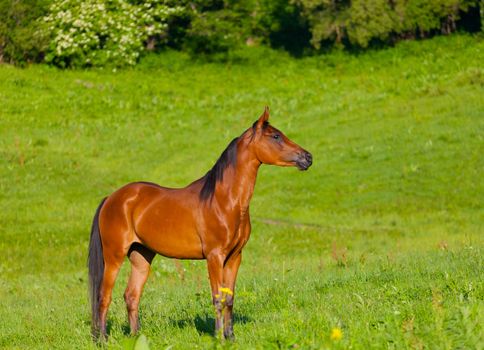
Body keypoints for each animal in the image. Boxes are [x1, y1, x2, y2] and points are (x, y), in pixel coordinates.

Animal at [87, 106, 314, 340]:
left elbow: (229, 298)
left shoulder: (234, 257)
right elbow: (217, 297)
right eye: (275, 136)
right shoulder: (214, 257)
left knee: (131, 295)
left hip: (141, 255)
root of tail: (112, 198)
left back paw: (136, 338)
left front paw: (231, 337)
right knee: (104, 296)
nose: (308, 157)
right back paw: (102, 339)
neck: (224, 201)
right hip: (114, 256)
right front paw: (218, 337)